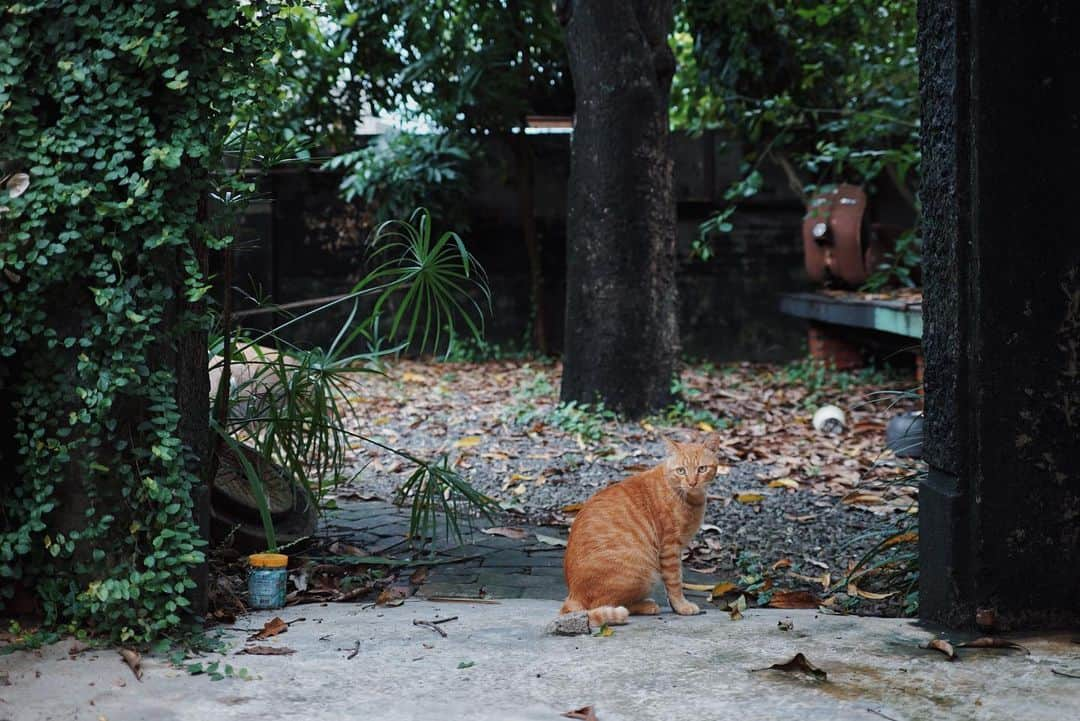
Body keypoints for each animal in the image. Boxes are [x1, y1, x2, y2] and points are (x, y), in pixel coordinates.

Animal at [561, 436, 721, 621]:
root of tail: (573, 594)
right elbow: (675, 582)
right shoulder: (670, 548)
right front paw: (681, 606)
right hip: (642, 572)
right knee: (605, 605)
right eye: (681, 471)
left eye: (702, 469)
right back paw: (646, 605)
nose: (692, 483)